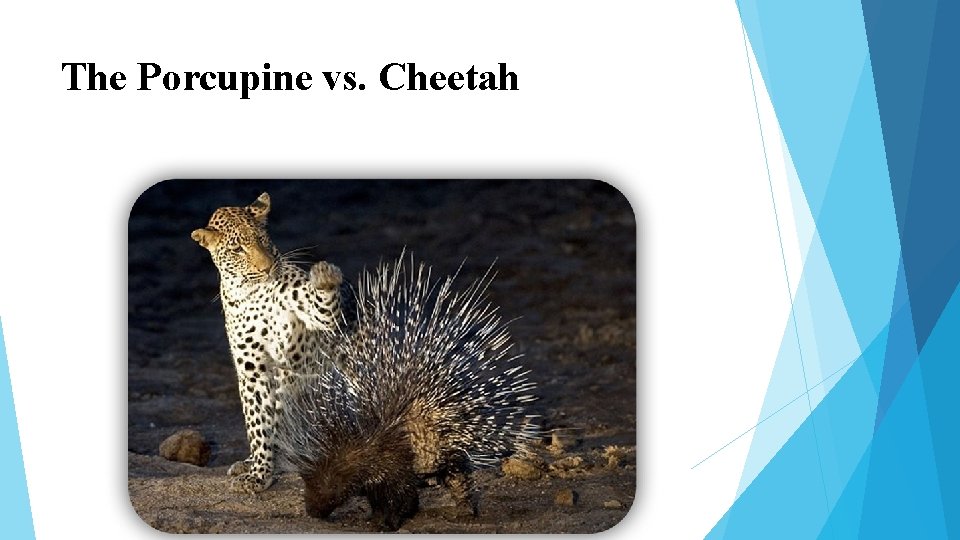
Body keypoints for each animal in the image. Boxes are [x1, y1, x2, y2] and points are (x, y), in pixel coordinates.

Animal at [191, 192, 354, 494]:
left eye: (261, 239)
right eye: (237, 250)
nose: (266, 268)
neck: (253, 294)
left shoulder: (318, 316)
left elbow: (321, 303)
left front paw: (325, 275)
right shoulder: (251, 366)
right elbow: (257, 422)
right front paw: (258, 472)